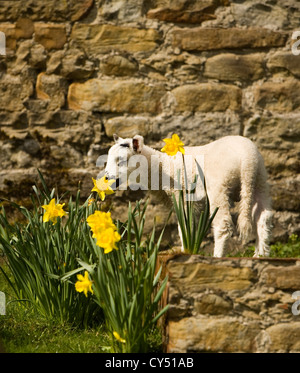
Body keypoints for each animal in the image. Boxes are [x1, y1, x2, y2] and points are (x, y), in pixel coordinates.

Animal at [104, 132, 274, 258]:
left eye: (121, 161)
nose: (106, 179)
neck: (161, 166)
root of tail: (247, 159)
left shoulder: (183, 196)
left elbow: (184, 227)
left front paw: (186, 251)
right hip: (260, 181)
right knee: (263, 218)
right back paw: (261, 255)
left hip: (219, 184)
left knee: (223, 224)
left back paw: (218, 256)